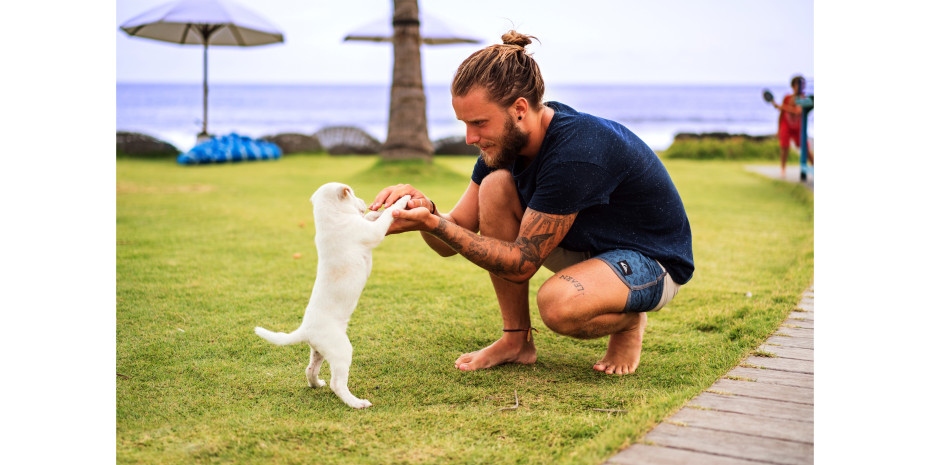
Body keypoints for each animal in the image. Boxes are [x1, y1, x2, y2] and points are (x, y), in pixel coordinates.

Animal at [256, 183, 412, 408]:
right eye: (353, 194)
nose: (365, 202)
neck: (330, 217)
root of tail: (305, 330)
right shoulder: (371, 233)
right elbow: (387, 215)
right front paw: (402, 200)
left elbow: (372, 216)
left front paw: (378, 209)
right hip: (341, 350)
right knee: (337, 384)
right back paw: (356, 403)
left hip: (319, 350)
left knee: (310, 369)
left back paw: (316, 384)